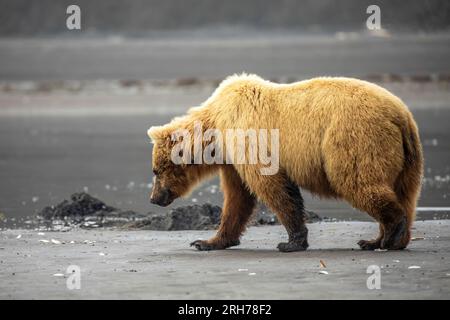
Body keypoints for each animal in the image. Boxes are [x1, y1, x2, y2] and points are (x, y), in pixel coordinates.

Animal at [147, 74, 422, 252]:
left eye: (156, 171)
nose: (153, 198)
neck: (216, 128)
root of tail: (401, 115)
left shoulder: (249, 138)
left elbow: (274, 188)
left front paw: (291, 242)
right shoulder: (232, 159)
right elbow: (237, 198)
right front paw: (208, 241)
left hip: (356, 138)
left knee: (359, 182)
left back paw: (390, 233)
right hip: (408, 159)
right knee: (405, 193)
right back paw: (381, 240)